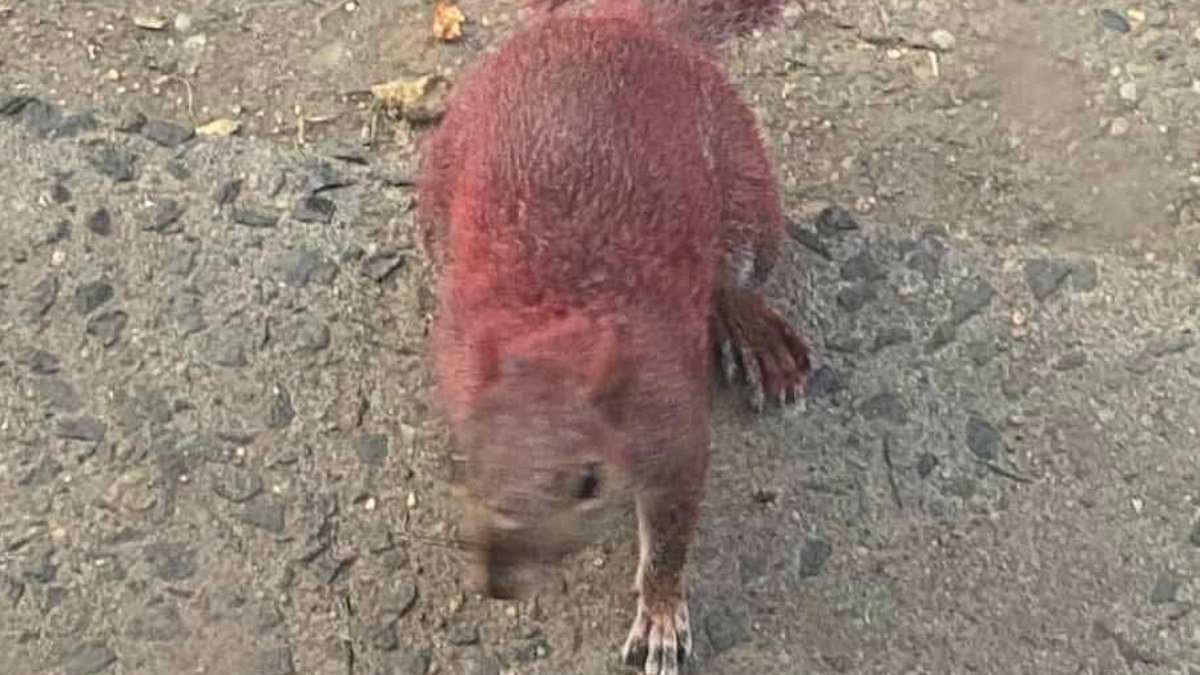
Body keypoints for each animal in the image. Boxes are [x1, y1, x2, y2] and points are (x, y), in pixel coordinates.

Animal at [418, 0, 811, 672]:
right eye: (459, 458)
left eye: (588, 482)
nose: (499, 582)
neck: (555, 321)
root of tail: (616, 19)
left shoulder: (672, 427)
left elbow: (672, 533)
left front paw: (660, 613)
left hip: (744, 185)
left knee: (735, 274)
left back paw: (753, 330)